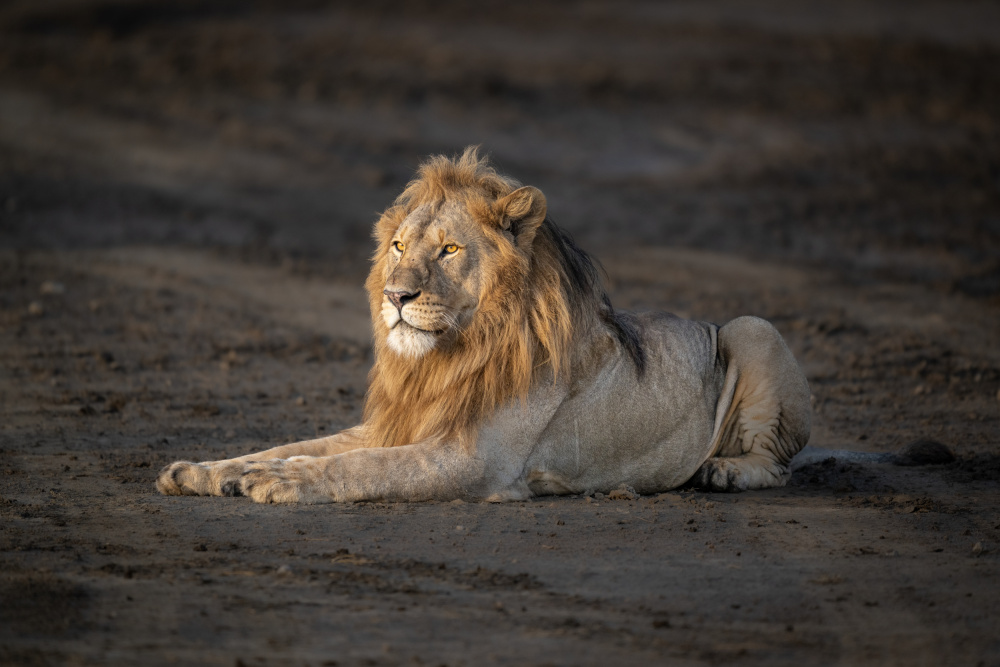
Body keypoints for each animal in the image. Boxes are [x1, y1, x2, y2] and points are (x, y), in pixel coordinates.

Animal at [156, 146, 812, 500]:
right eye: (398, 246)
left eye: (449, 250)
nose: (395, 295)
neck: (443, 358)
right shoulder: (398, 423)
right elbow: (296, 446)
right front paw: (207, 471)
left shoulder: (472, 458)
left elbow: (361, 466)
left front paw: (281, 482)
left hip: (753, 328)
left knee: (779, 464)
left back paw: (724, 471)